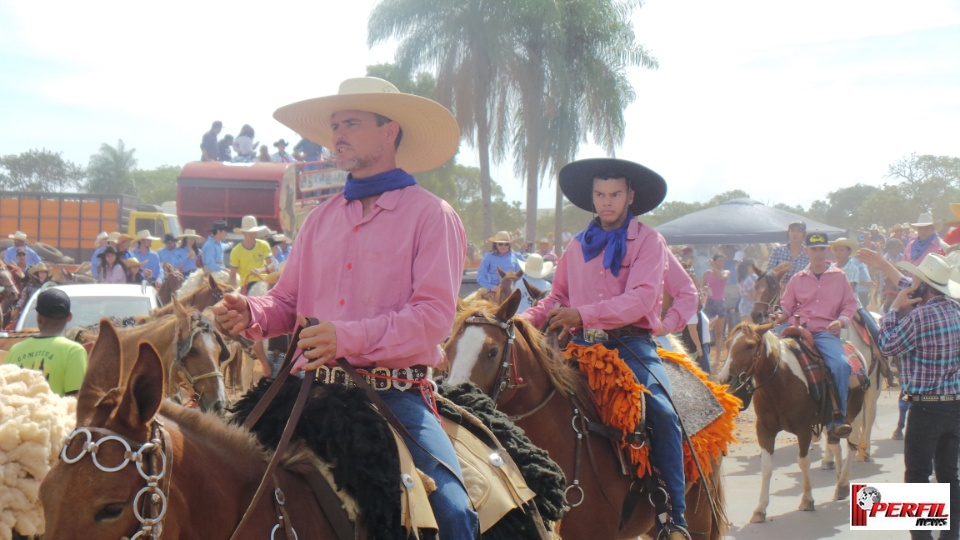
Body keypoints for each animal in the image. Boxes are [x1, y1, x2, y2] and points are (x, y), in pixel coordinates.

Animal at [716, 322, 872, 520]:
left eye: (749, 346)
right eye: (728, 344)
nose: (725, 378)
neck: (781, 381)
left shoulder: (803, 429)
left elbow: (803, 462)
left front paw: (807, 500)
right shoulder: (764, 429)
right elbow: (766, 467)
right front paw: (760, 508)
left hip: (855, 412)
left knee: (852, 445)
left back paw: (844, 482)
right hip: (831, 421)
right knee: (835, 445)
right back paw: (839, 485)